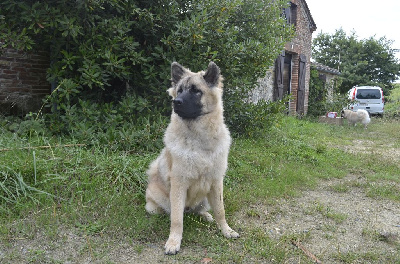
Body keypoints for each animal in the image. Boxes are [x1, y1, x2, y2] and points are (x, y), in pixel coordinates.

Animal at [145, 60, 239, 255]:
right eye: (179, 90)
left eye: (196, 91)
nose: (176, 102)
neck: (199, 140)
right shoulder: (179, 184)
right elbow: (177, 220)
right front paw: (173, 242)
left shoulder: (216, 182)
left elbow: (221, 210)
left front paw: (226, 230)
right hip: (156, 204)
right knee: (170, 212)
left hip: (205, 199)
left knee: (201, 210)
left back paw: (206, 215)